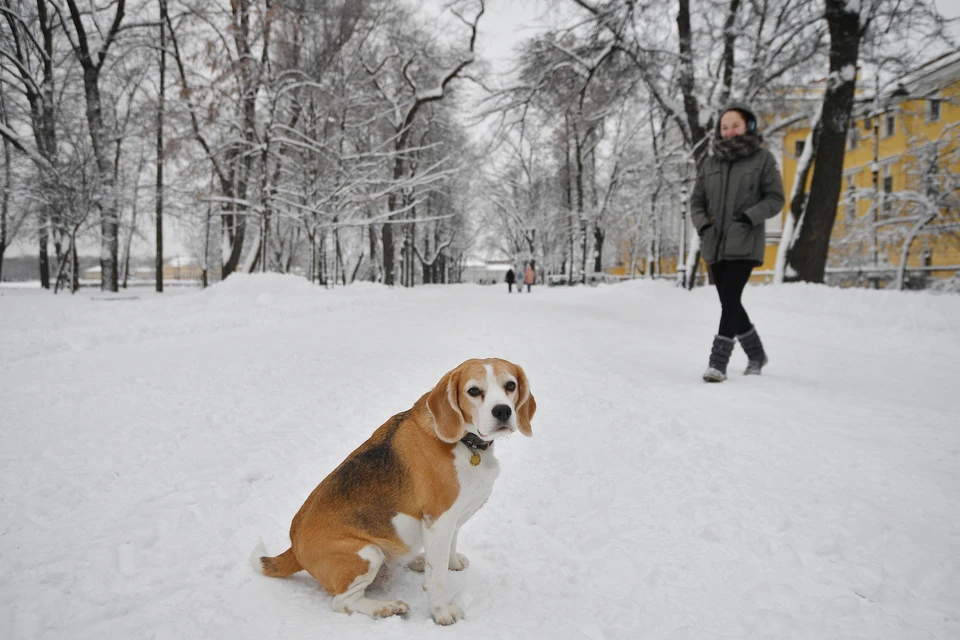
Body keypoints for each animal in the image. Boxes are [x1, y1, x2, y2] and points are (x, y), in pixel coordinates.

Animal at [258, 360, 536, 624]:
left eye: (510, 385)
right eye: (474, 391)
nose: (502, 411)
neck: (467, 443)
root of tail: (293, 547)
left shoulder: (451, 519)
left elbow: (448, 550)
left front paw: (451, 563)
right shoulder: (438, 521)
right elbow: (437, 578)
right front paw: (441, 613)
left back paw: (416, 561)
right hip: (367, 554)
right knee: (342, 602)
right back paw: (386, 608)